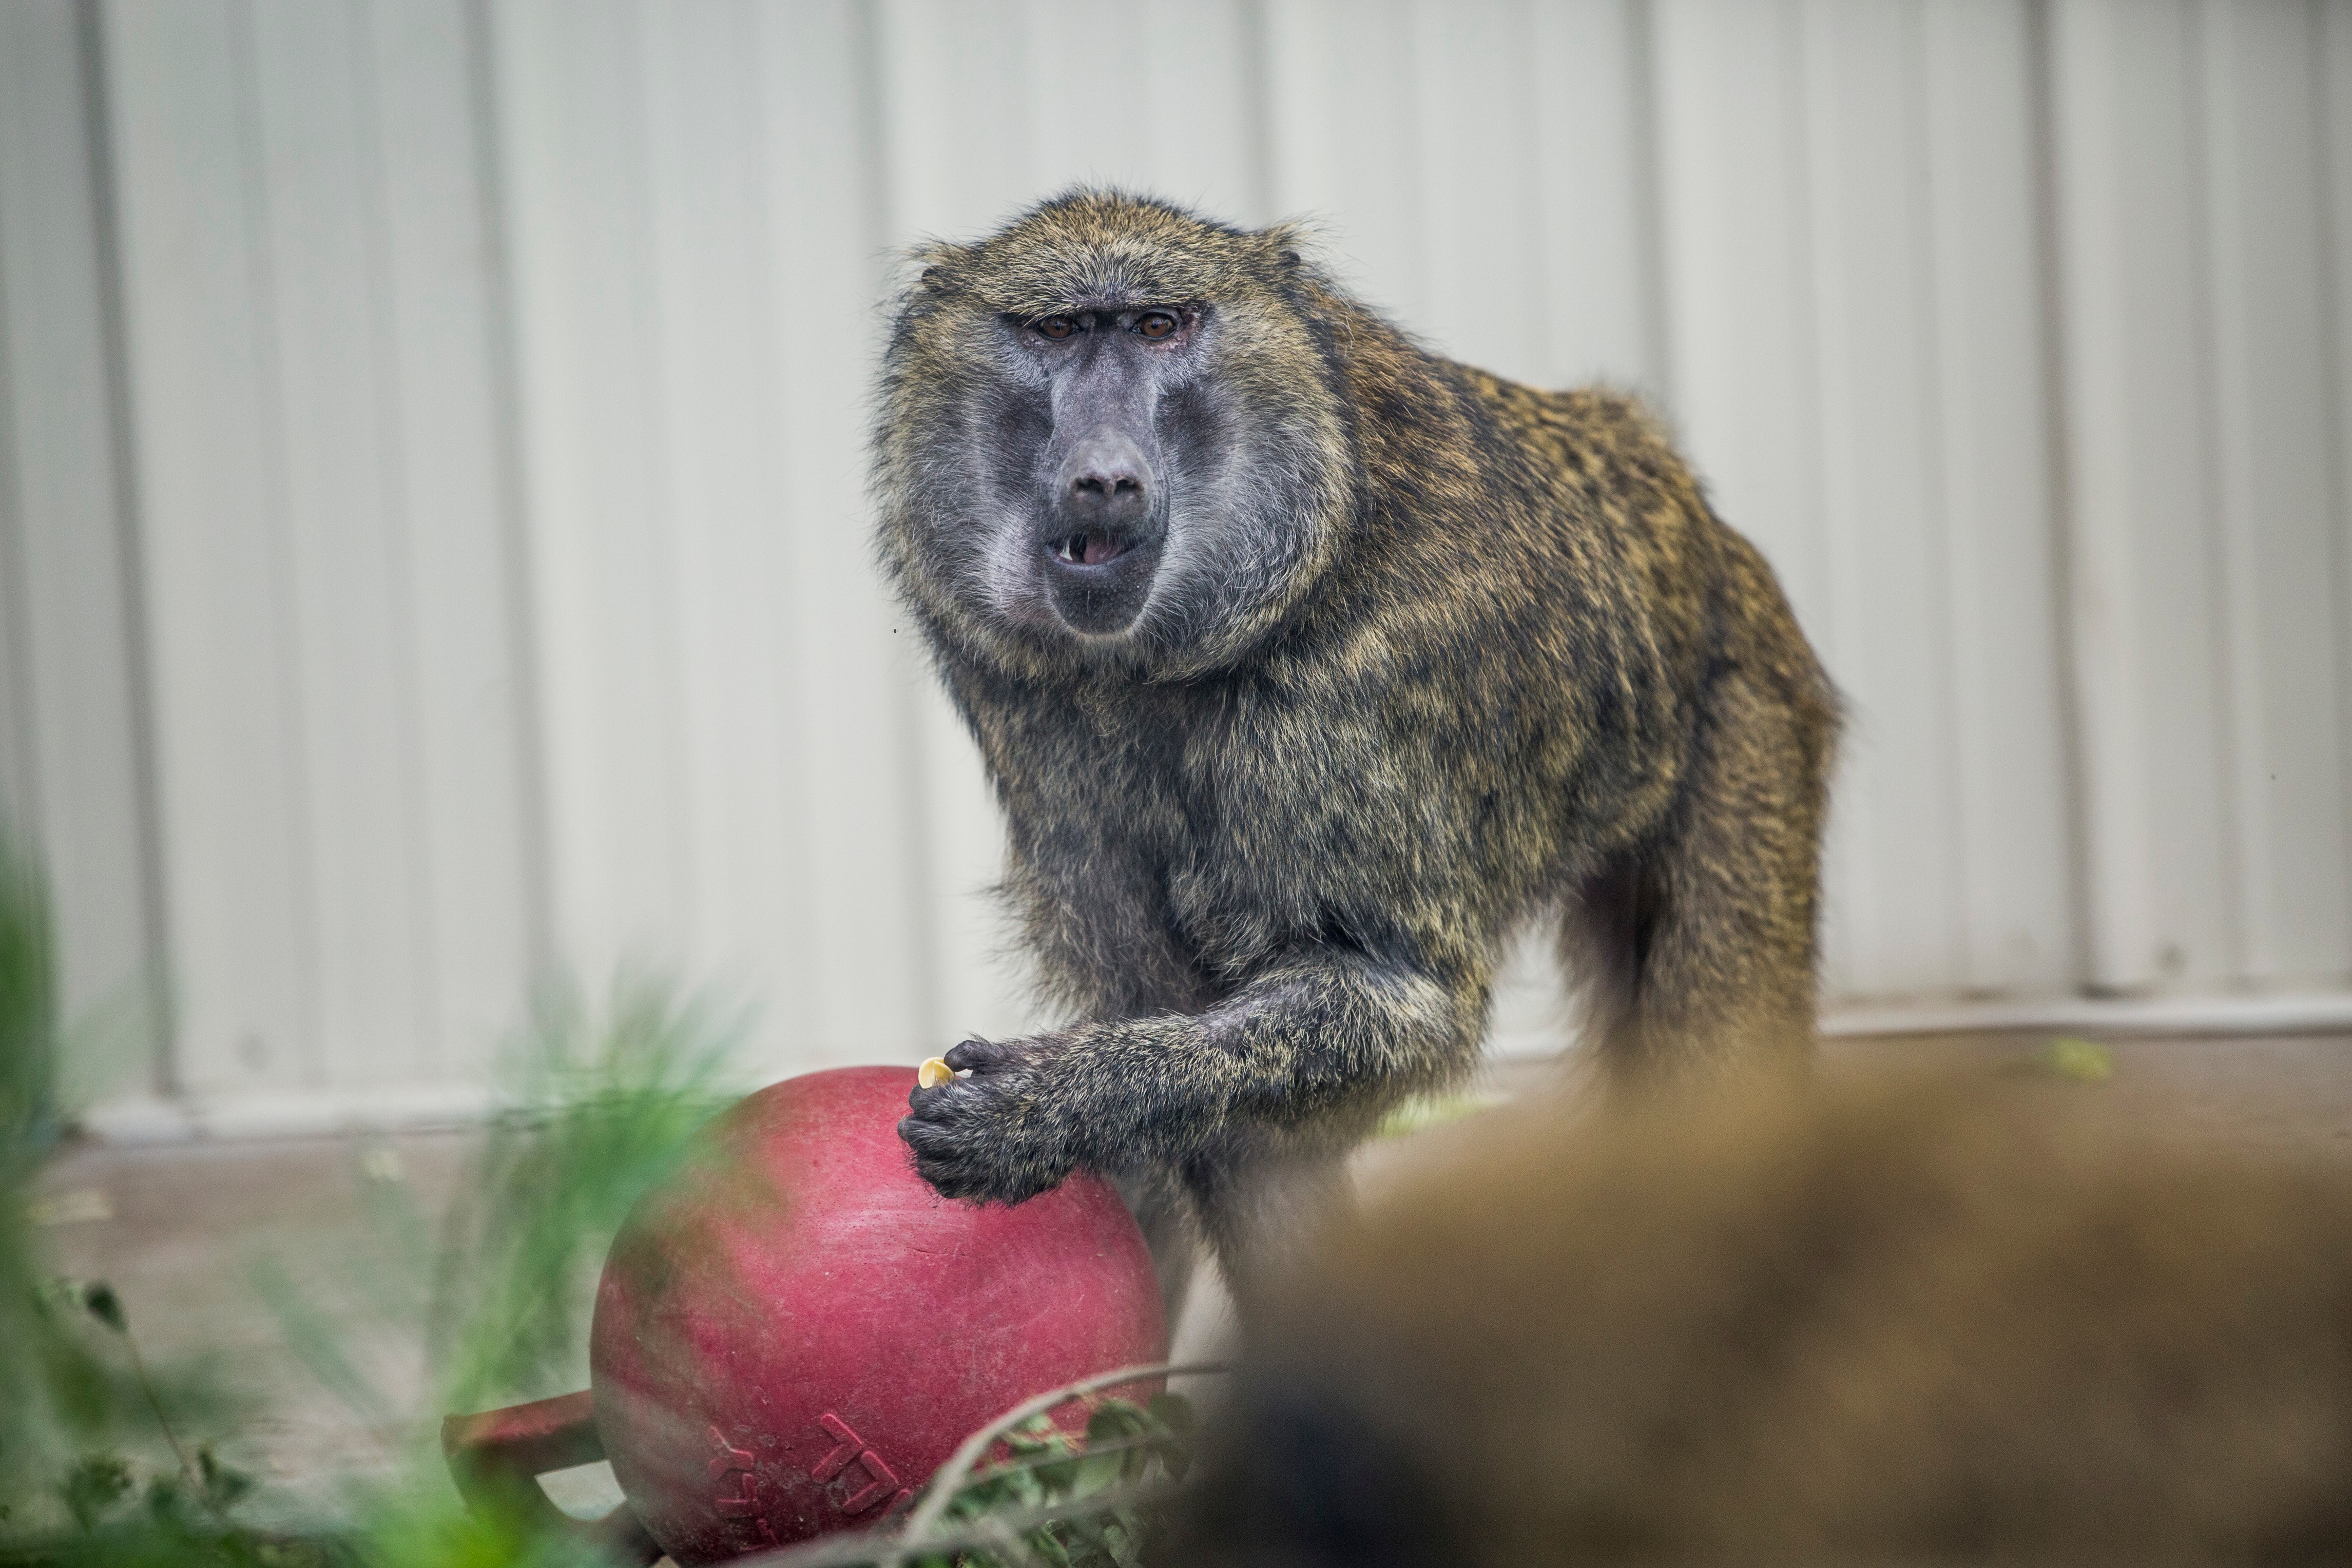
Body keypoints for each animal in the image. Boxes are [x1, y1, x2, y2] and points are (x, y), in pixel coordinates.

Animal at [875, 189, 1837, 1305]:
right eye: (1056, 333)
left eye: (1159, 326)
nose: (1102, 478)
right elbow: (1215, 1091)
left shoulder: (1350, 697)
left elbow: (1399, 998)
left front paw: (1043, 1107)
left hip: (1747, 709)